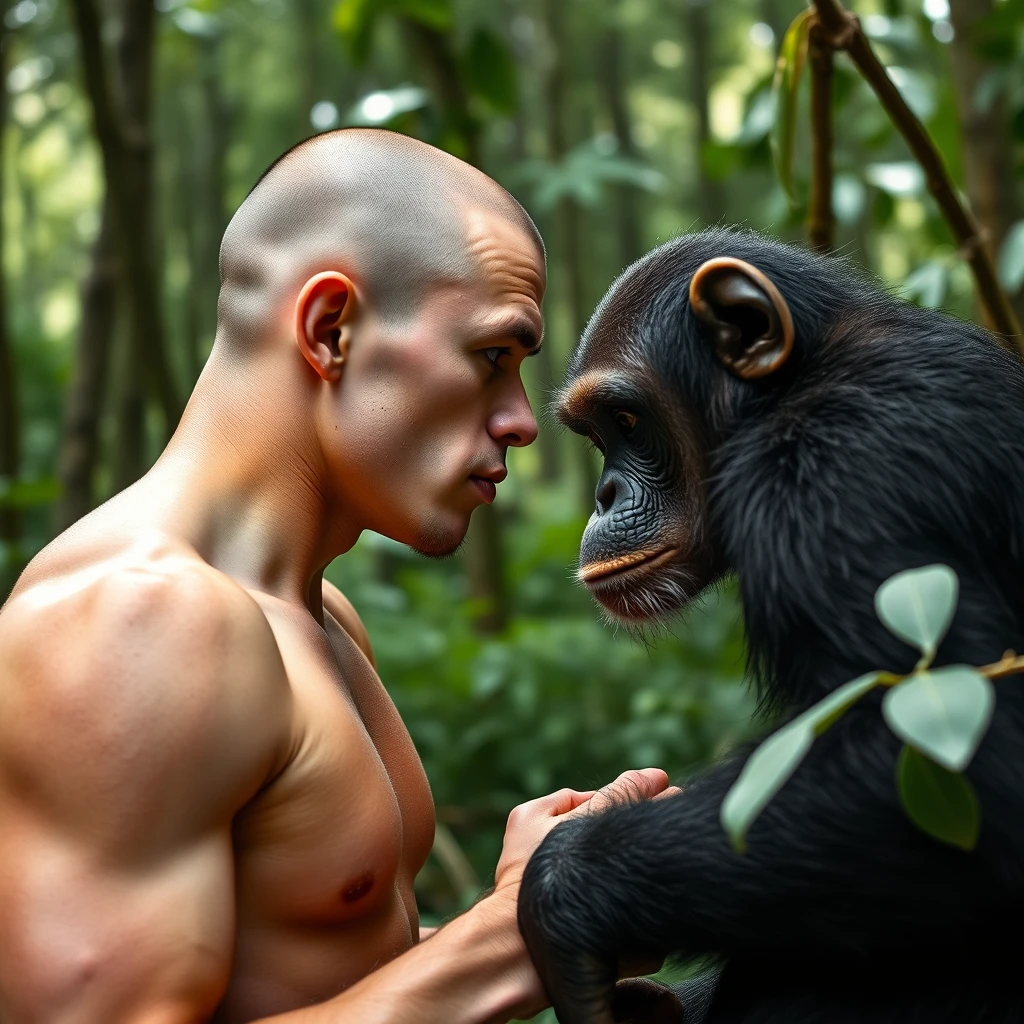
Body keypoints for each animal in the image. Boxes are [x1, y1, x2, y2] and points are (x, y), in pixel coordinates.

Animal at [516, 230, 1024, 1024]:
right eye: (596, 436)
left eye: (627, 423)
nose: (603, 494)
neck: (788, 389)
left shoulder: (844, 475)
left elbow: (955, 754)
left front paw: (558, 896)